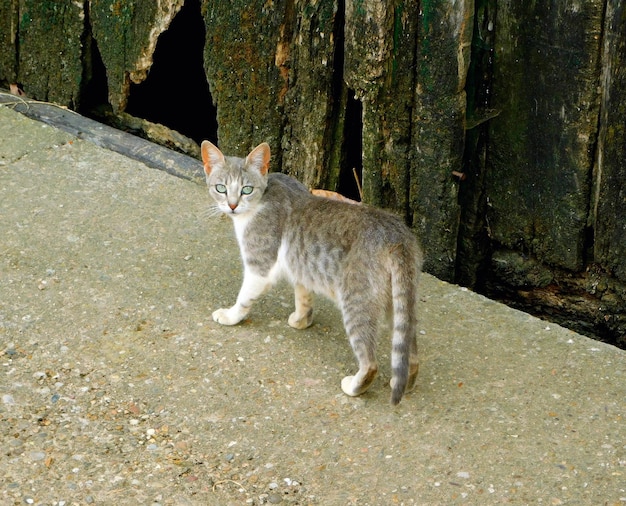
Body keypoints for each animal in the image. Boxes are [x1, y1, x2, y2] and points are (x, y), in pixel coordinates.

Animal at [202, 140, 422, 406]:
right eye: (221, 188)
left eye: (246, 189)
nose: (232, 206)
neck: (265, 194)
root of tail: (396, 234)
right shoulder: (301, 266)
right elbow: (303, 297)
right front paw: (301, 320)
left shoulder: (260, 267)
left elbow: (244, 298)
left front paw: (231, 315)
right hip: (397, 302)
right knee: (411, 353)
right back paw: (404, 381)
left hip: (357, 302)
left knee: (370, 363)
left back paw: (354, 386)